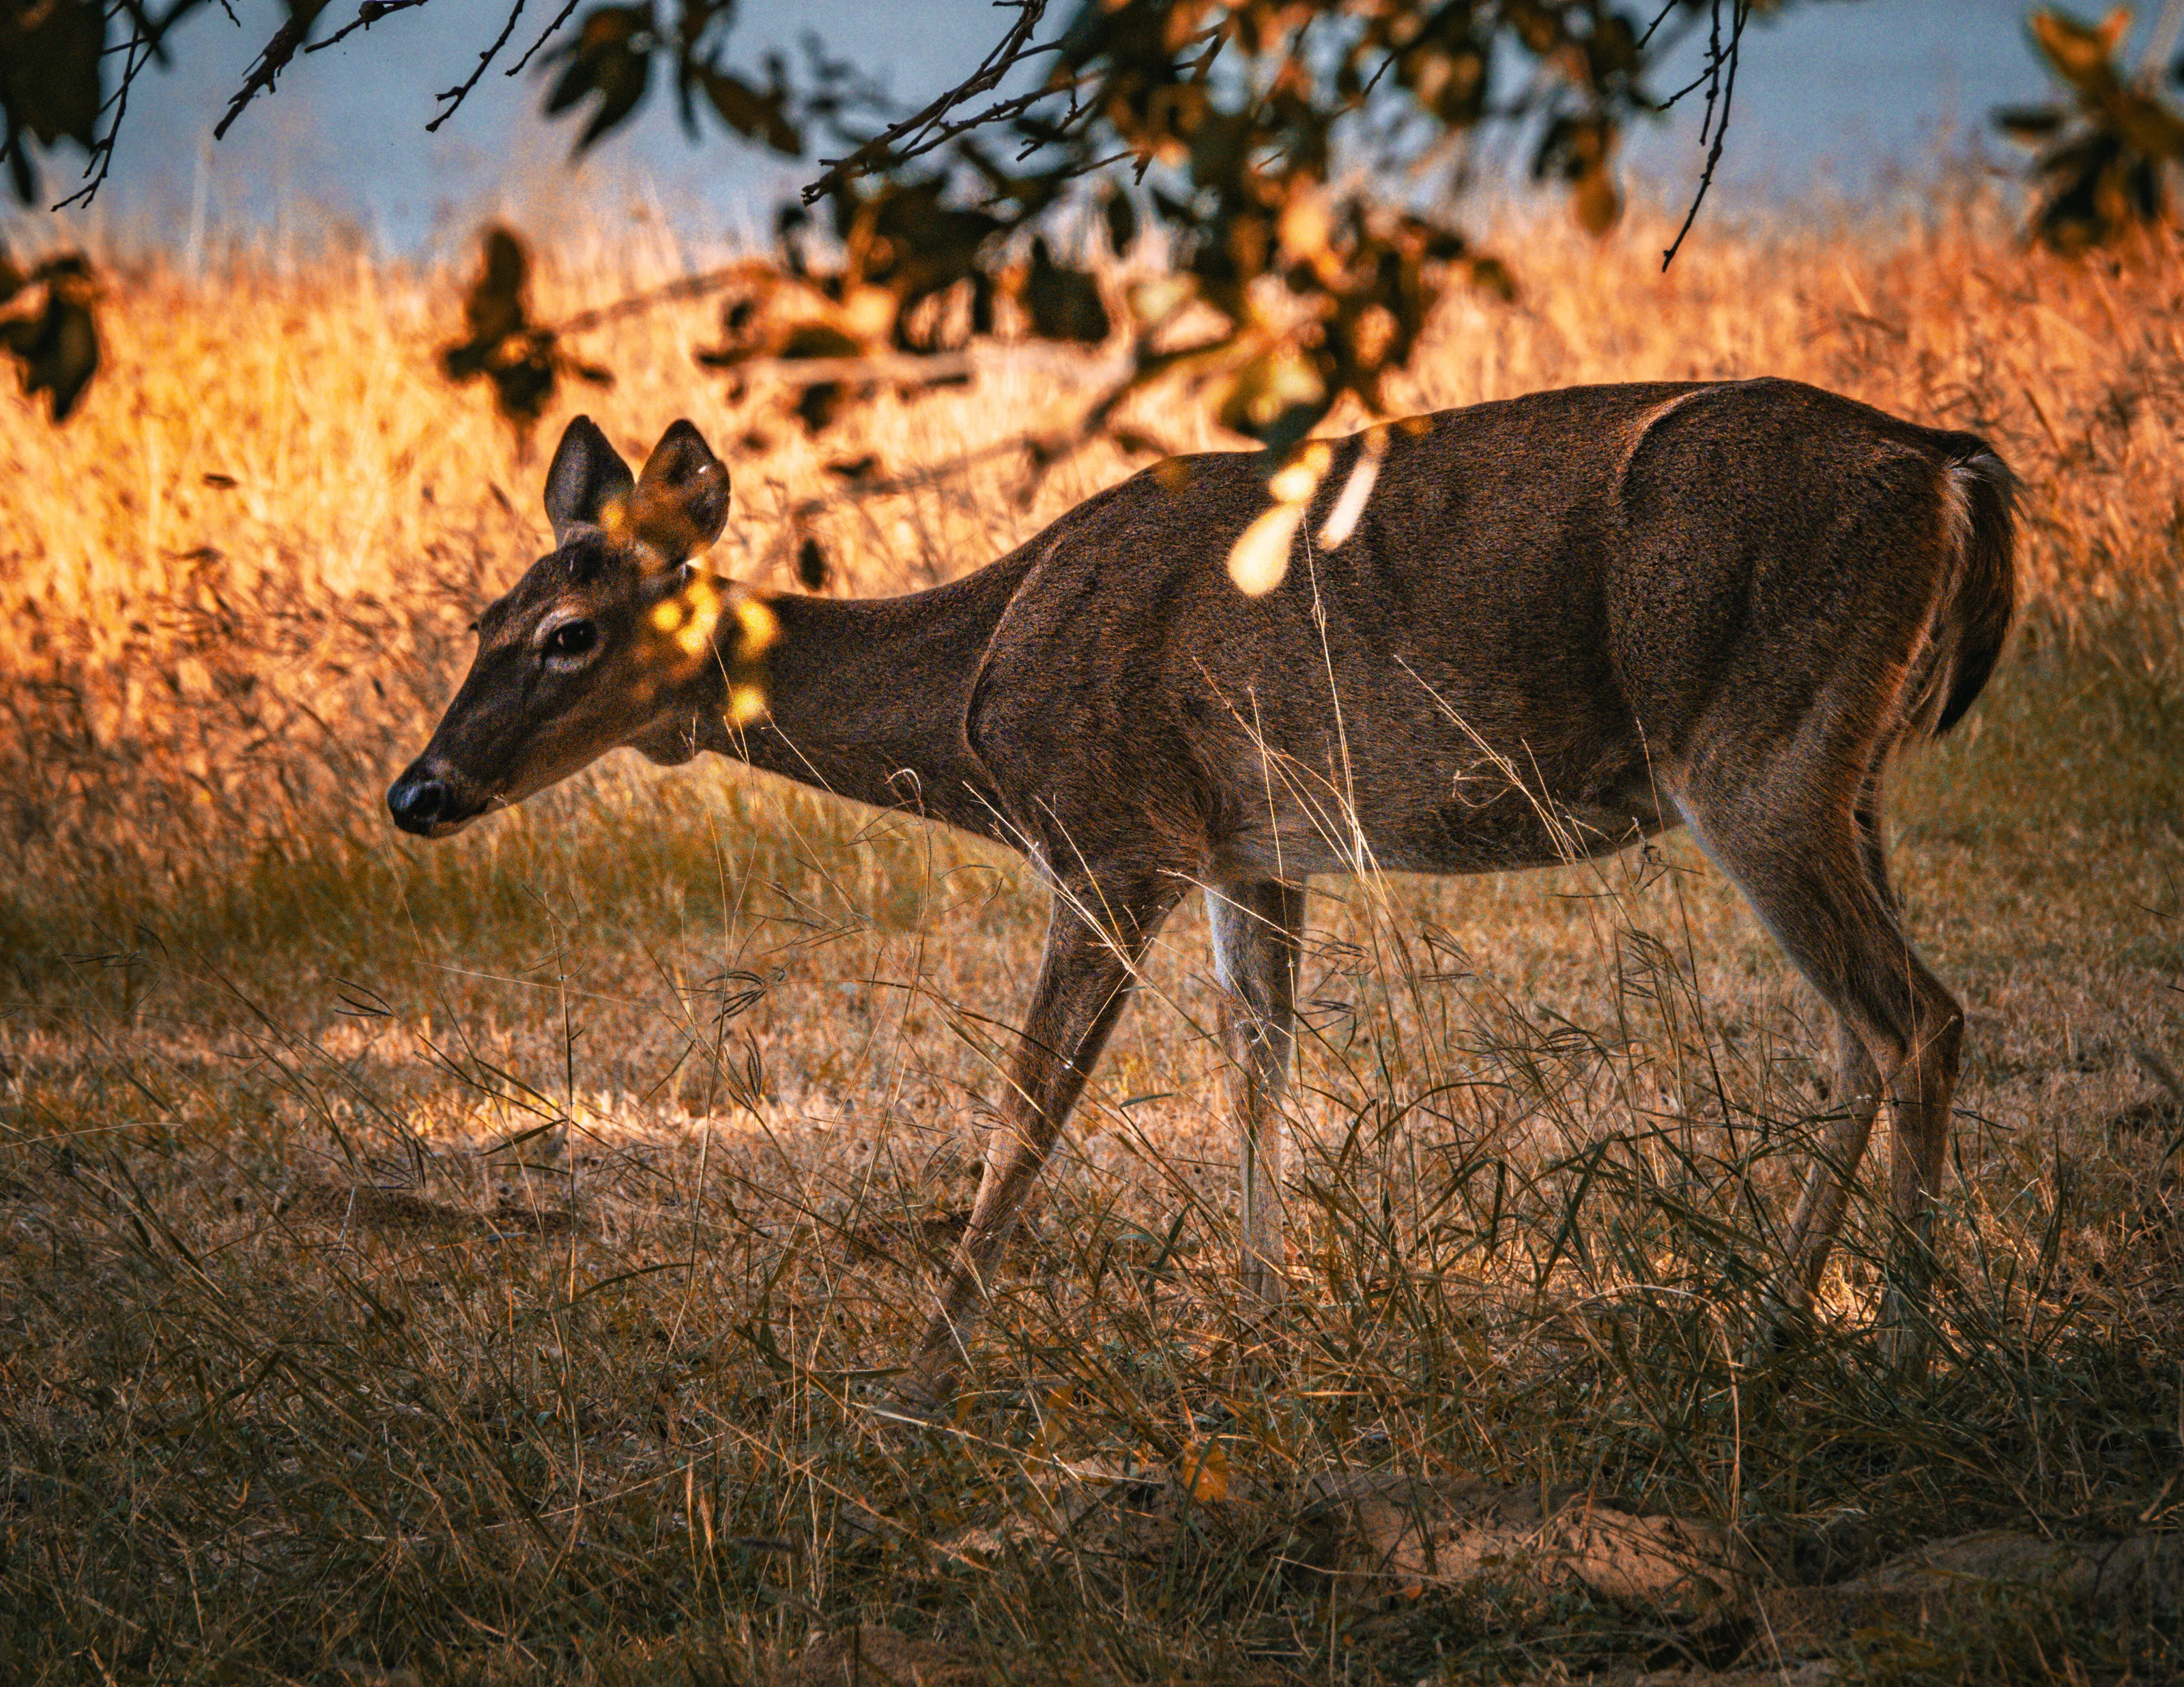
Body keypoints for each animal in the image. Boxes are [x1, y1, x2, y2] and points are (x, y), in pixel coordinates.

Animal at [388, 378, 2015, 1407]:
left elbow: (1029, 1106)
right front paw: (1263, 1322)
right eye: (479, 621)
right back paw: (1777, 1331)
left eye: (571, 635)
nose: (417, 793)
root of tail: (1946, 468)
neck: (973, 707)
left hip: (1752, 748)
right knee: (1861, 1031)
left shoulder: (1111, 832)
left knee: (1917, 1018)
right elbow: (1258, 1067)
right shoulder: (1255, 849)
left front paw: (918, 1379)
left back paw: (1900, 1354)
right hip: (1847, 769)